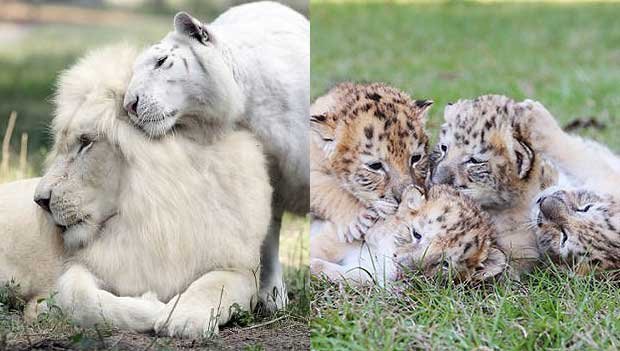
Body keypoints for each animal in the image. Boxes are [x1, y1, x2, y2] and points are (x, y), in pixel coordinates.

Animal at [29, 44, 272, 338]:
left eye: (85, 142)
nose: (39, 200)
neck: (150, 216)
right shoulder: (91, 265)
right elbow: (77, 295)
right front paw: (154, 307)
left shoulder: (240, 269)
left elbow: (212, 285)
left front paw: (184, 318)